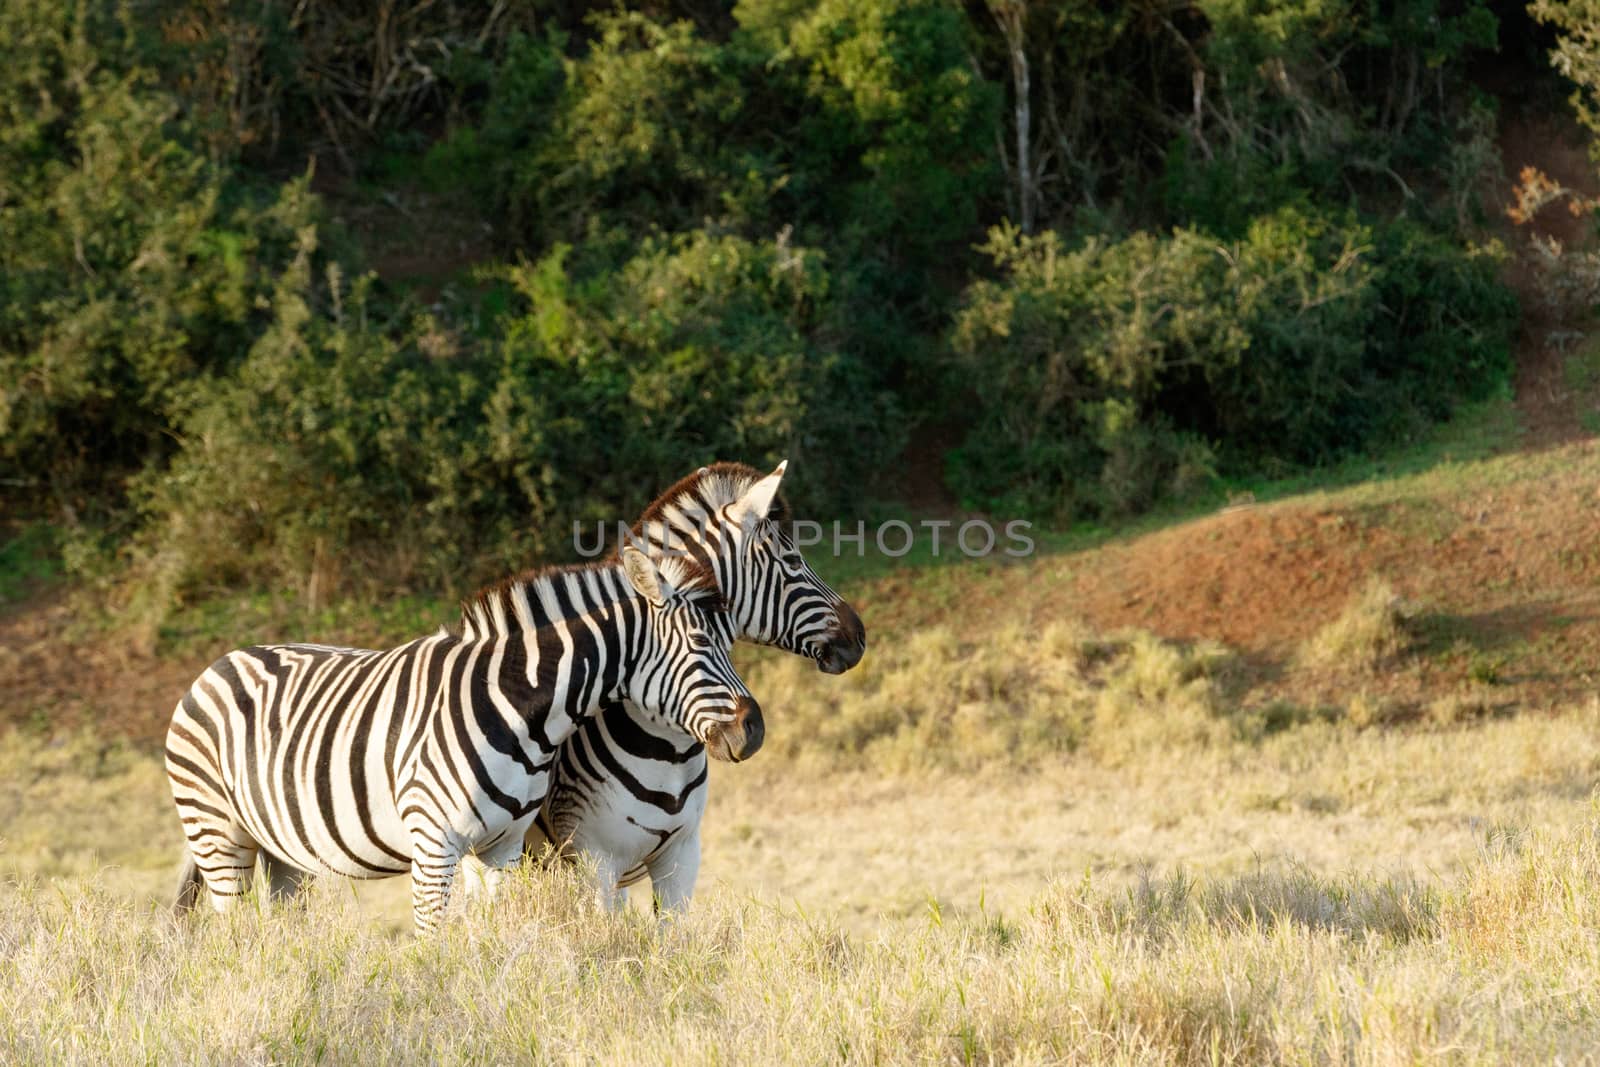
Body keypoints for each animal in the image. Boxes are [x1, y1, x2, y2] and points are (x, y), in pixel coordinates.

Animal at [167, 550, 761, 934]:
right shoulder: (434, 844)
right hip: (217, 833)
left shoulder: (503, 848)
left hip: (281, 849)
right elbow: (433, 940)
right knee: (237, 933)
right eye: (701, 643)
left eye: (731, 641)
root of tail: (222, 661)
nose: (753, 730)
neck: (522, 710)